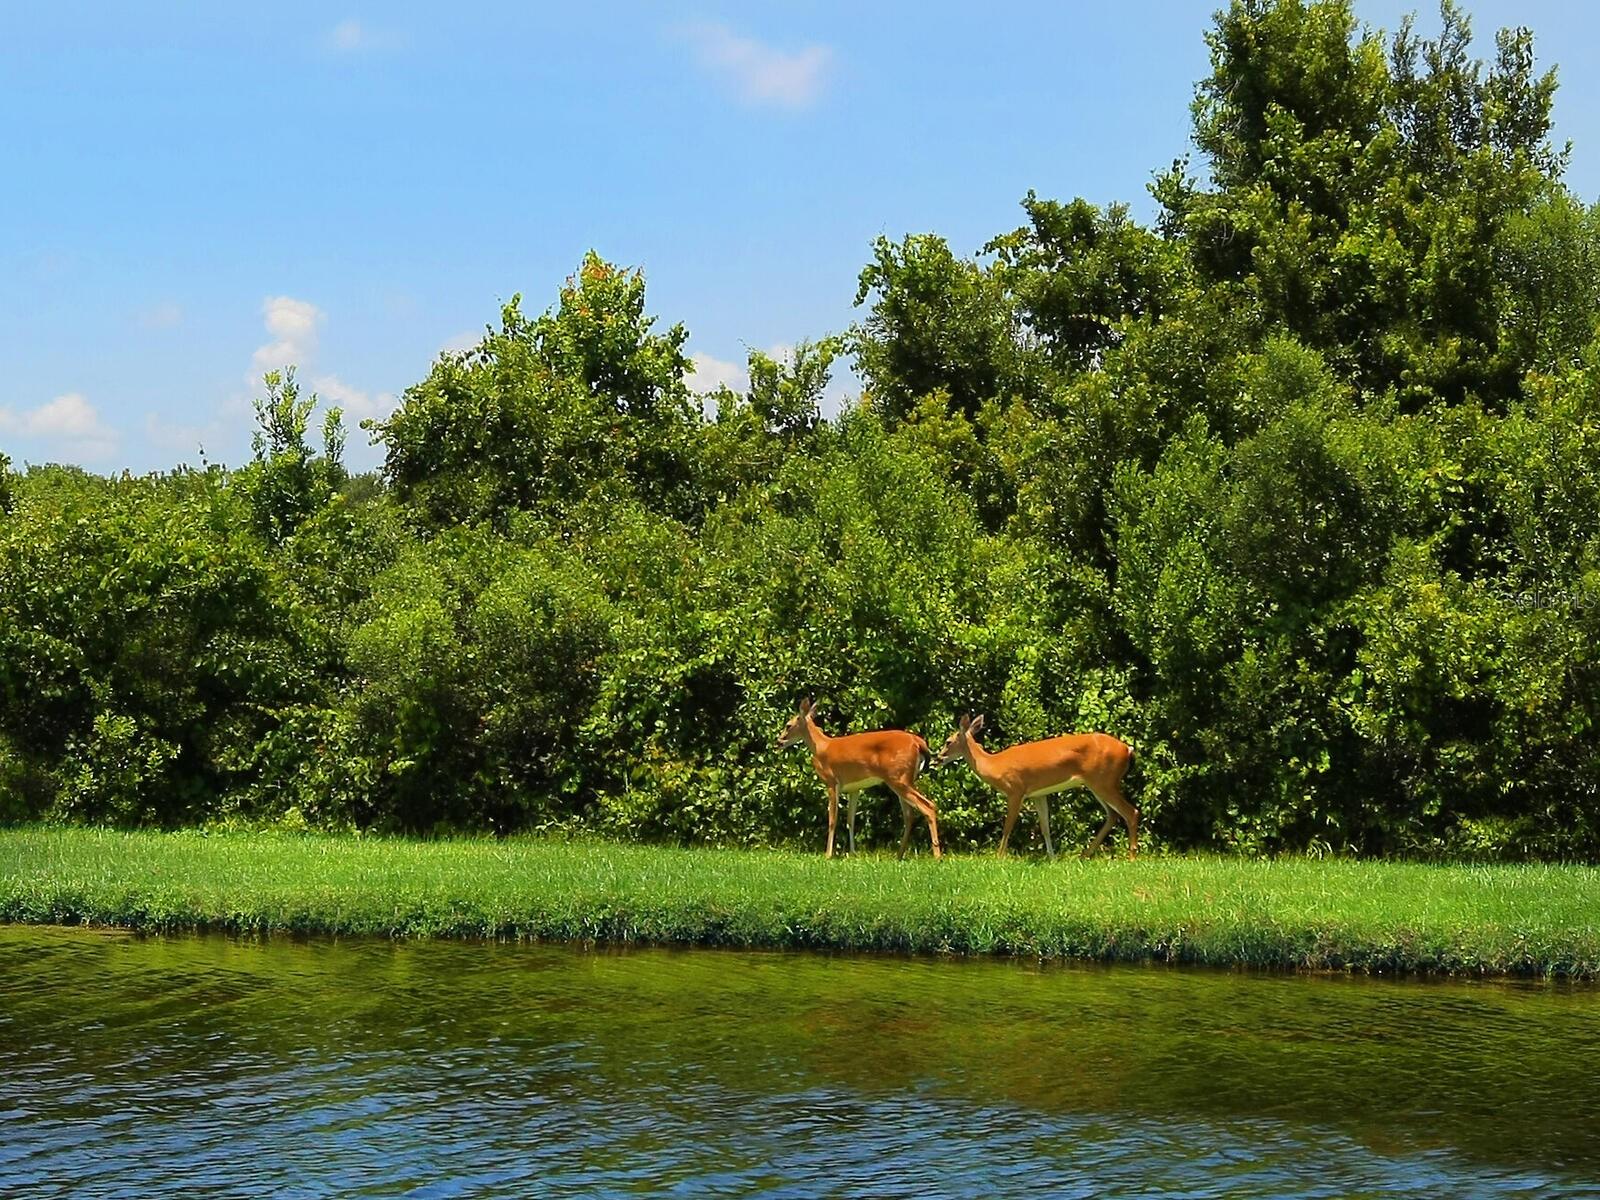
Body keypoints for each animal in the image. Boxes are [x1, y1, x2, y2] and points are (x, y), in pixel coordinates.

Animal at [776, 698, 942, 859]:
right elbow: (851, 819)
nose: (778, 741)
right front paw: (853, 853)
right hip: (904, 778)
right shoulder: (854, 788)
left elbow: (832, 818)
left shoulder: (832, 781)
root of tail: (918, 742)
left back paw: (936, 855)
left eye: (788, 725)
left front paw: (828, 855)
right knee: (909, 815)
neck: (822, 746)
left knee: (928, 806)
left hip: (898, 778)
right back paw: (899, 855)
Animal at [934, 714, 1138, 860]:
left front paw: (998, 857)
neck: (994, 764)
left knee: (1131, 812)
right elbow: (1045, 826)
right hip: (1097, 783)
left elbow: (1008, 826)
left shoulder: (1015, 790)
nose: (937, 758)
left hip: (1104, 781)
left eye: (948, 741)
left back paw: (1131, 857)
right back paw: (1084, 855)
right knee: (1112, 815)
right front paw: (1052, 858)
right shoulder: (1038, 794)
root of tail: (1128, 749)